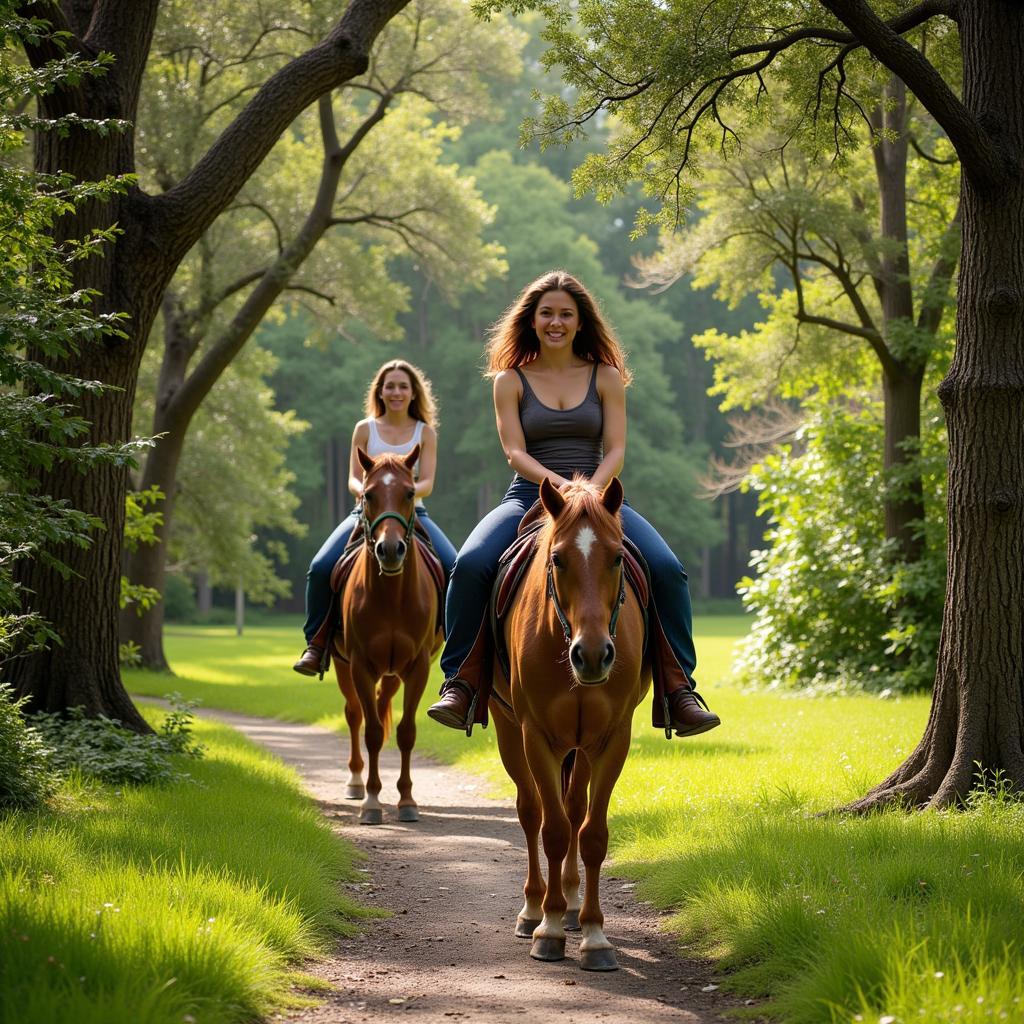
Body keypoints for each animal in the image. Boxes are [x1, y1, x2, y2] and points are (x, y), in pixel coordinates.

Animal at [329, 446, 438, 823]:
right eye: (368, 495)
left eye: (410, 492)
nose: (390, 551)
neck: (391, 596)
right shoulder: (360, 664)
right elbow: (373, 732)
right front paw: (372, 801)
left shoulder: (418, 667)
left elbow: (406, 732)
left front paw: (406, 800)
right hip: (342, 664)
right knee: (355, 714)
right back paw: (355, 782)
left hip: (392, 673)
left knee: (379, 703)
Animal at [487, 475, 647, 970]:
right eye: (557, 559)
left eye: (617, 557)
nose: (592, 655)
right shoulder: (535, 736)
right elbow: (552, 830)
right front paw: (550, 929)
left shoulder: (612, 738)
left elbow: (591, 833)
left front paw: (594, 934)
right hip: (508, 732)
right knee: (532, 810)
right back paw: (534, 908)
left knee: (574, 808)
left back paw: (574, 905)